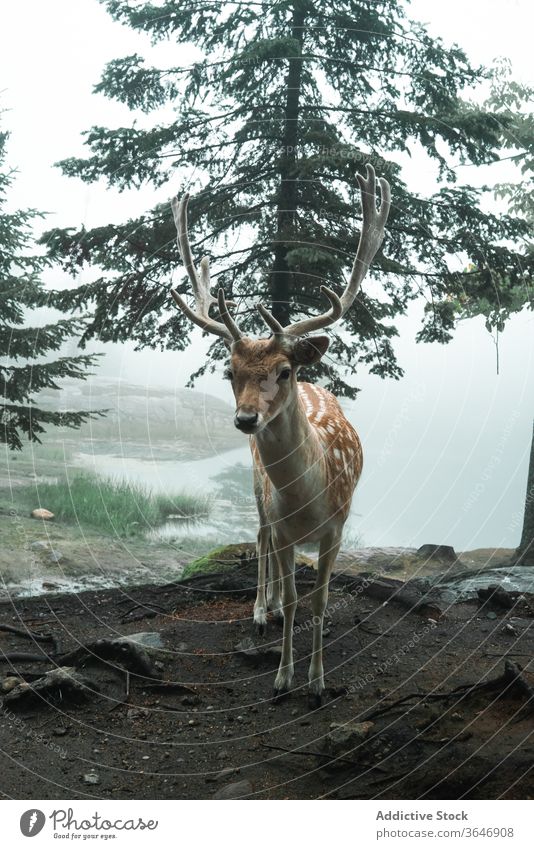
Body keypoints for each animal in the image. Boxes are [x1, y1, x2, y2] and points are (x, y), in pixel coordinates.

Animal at [172, 164, 394, 704]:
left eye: (284, 370)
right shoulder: (285, 523)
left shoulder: (337, 528)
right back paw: (261, 609)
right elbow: (295, 599)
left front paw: (317, 682)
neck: (307, 500)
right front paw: (283, 679)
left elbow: (320, 601)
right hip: (257, 492)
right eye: (229, 372)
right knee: (260, 537)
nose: (247, 419)